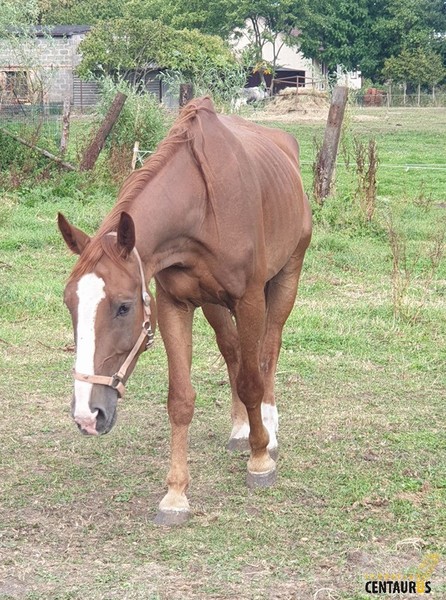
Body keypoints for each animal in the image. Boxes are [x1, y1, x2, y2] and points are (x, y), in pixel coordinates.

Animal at [58, 96, 310, 524]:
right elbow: (180, 399)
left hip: (285, 278)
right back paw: (241, 430)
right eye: (69, 303)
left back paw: (268, 430)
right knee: (233, 351)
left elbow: (252, 380)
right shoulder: (175, 305)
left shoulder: (250, 299)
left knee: (267, 352)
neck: (202, 209)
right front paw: (175, 494)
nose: (87, 416)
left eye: (124, 307)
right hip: (213, 304)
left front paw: (260, 459)